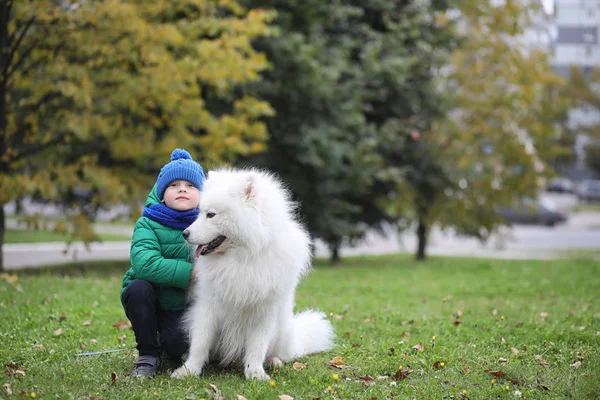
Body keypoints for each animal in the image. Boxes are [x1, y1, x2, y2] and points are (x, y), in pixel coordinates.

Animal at [171, 167, 336, 380]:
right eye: (199, 213)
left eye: (211, 215)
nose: (185, 233)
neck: (243, 257)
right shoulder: (207, 306)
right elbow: (200, 342)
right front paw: (188, 370)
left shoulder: (264, 310)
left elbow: (258, 345)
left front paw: (255, 373)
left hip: (281, 331)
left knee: (276, 352)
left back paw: (274, 361)